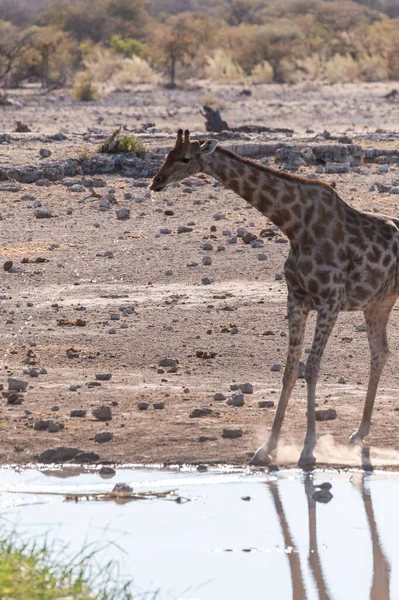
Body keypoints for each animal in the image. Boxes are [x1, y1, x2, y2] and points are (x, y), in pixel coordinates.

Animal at [149, 130, 399, 468]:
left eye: (186, 158)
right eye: (167, 154)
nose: (156, 181)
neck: (295, 225)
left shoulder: (329, 301)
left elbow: (313, 367)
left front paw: (308, 449)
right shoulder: (297, 299)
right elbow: (290, 369)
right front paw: (267, 447)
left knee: (378, 352)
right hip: (378, 303)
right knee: (380, 352)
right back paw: (359, 433)